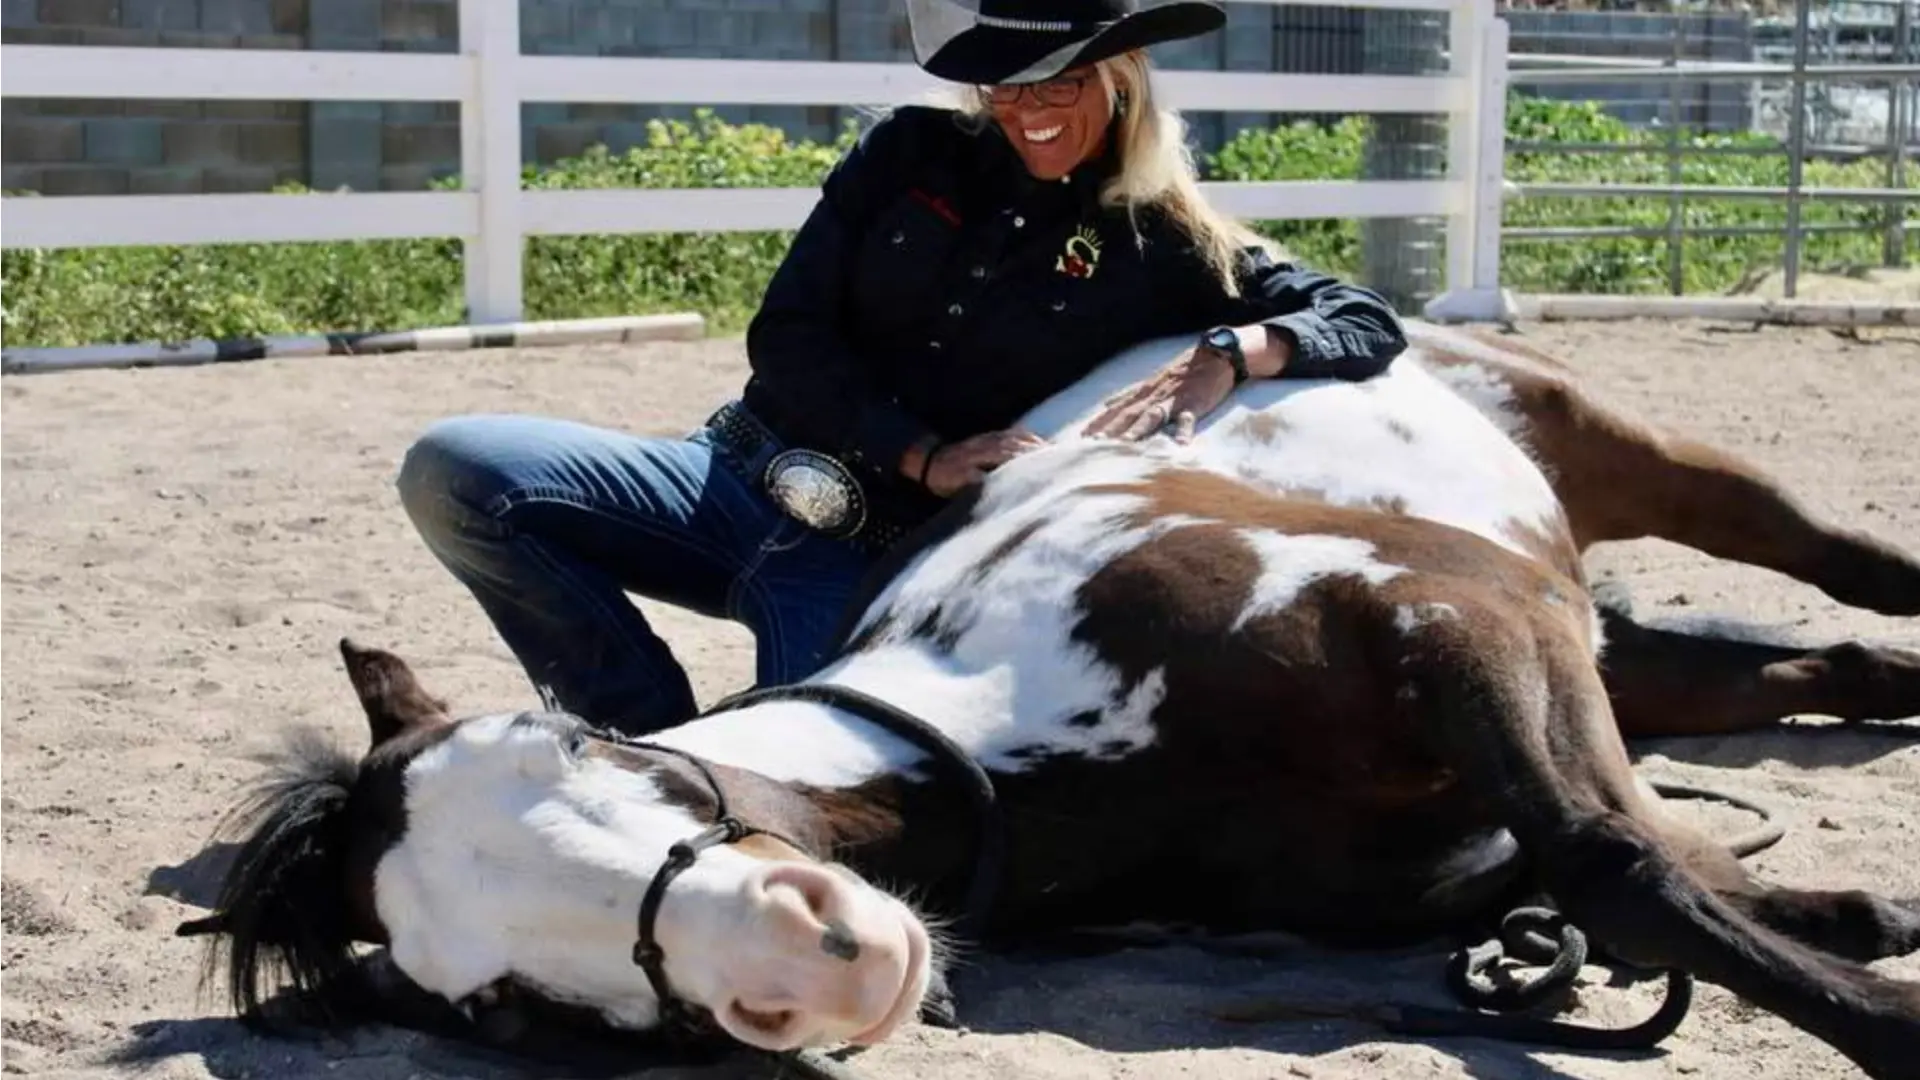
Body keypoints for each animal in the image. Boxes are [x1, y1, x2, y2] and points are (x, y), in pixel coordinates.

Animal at [180, 319, 1920, 1076]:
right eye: (503, 1009)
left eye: (588, 741)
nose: (814, 956)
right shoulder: (1511, 699)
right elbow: (1626, 864)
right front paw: (1846, 922)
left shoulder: (1461, 616)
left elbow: (1612, 860)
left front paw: (1881, 1016)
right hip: (1618, 655)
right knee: (1813, 672)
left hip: (1619, 459)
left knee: (1837, 568)